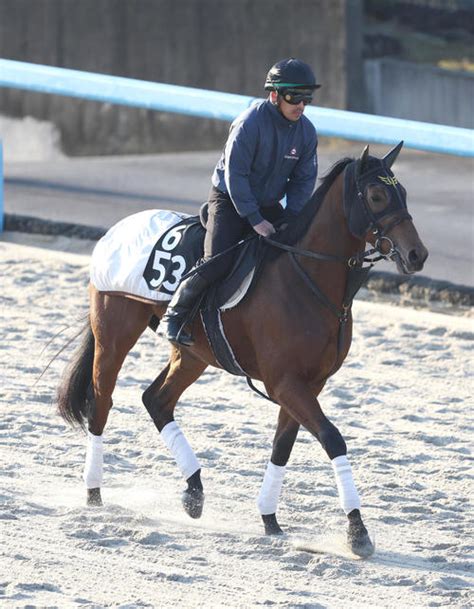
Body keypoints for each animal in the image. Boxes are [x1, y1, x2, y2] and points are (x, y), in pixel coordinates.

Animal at [57, 141, 428, 556]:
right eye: (377, 195)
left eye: (403, 192)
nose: (417, 254)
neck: (306, 278)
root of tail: (116, 231)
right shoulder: (285, 383)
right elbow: (332, 438)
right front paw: (357, 531)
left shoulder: (307, 384)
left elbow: (283, 446)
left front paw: (270, 518)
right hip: (114, 333)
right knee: (102, 403)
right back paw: (94, 493)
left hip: (193, 354)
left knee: (156, 400)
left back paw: (194, 491)